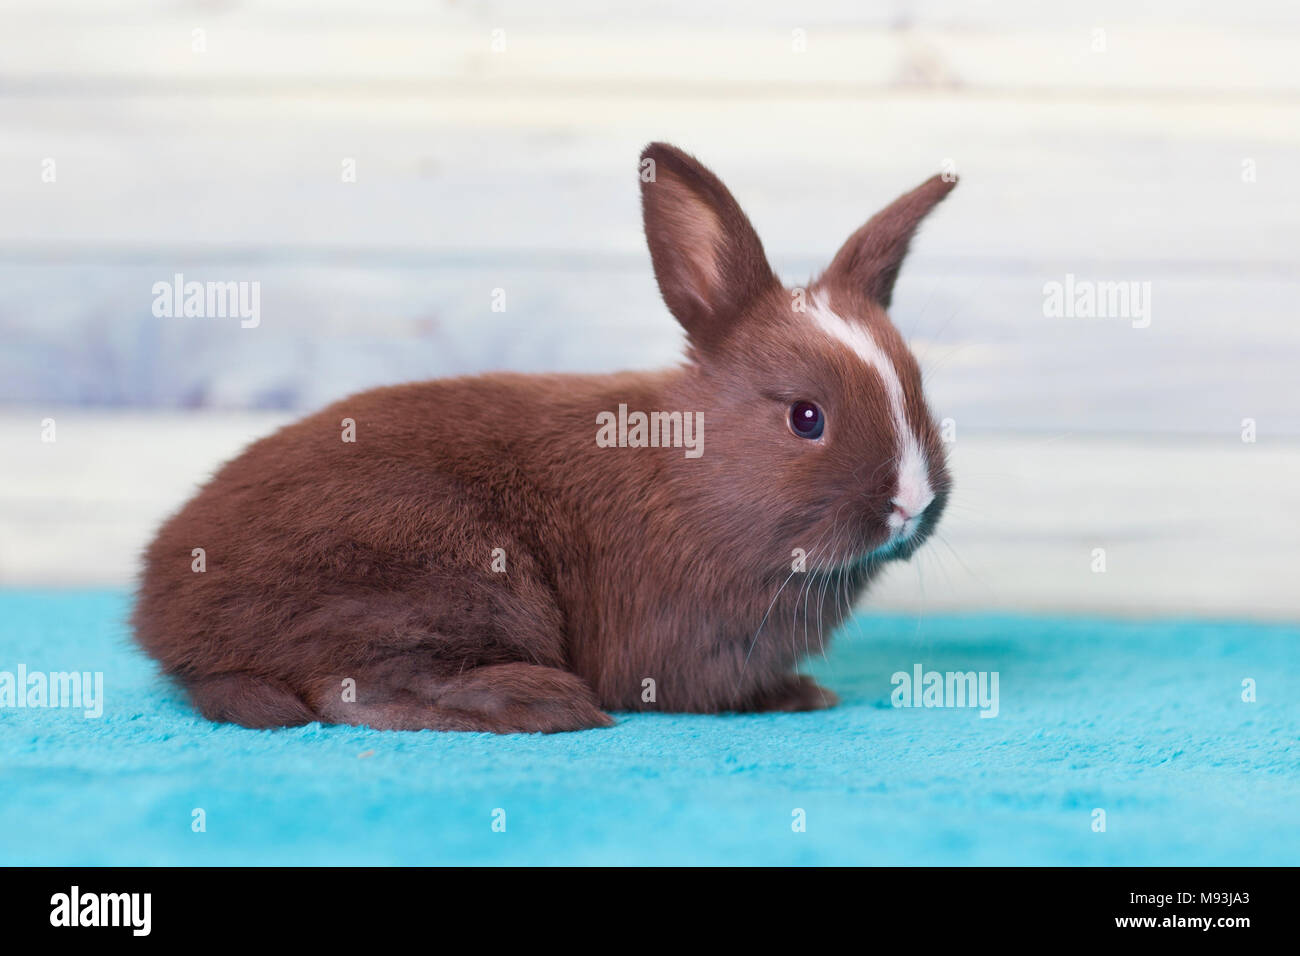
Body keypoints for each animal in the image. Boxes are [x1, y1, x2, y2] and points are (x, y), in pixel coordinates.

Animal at [132, 142, 955, 733]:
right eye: (805, 417)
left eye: (919, 387)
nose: (913, 502)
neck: (685, 482)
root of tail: (170, 626)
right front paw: (799, 696)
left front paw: (803, 693)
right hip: (456, 580)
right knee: (351, 690)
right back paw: (548, 704)